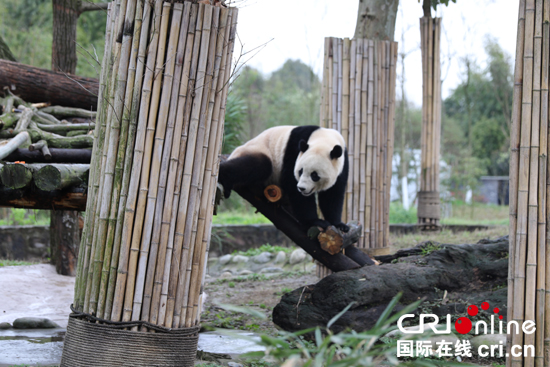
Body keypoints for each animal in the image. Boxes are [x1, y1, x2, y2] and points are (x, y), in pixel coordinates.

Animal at [219, 125, 350, 231]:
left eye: (314, 175)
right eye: (300, 171)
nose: (302, 188)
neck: (324, 139)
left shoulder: (342, 163)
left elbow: (333, 194)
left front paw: (338, 224)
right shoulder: (294, 151)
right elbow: (292, 182)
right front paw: (315, 222)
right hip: (255, 150)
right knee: (259, 165)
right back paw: (224, 177)